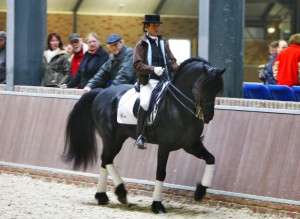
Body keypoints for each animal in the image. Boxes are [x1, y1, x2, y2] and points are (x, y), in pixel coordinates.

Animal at [63, 56, 224, 214]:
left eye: (217, 89)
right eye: (203, 86)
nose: (209, 116)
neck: (178, 107)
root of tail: (101, 92)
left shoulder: (191, 144)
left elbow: (211, 158)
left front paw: (200, 192)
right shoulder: (165, 146)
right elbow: (161, 173)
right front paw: (157, 205)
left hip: (118, 138)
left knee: (105, 160)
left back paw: (102, 196)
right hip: (112, 139)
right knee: (107, 159)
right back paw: (120, 192)